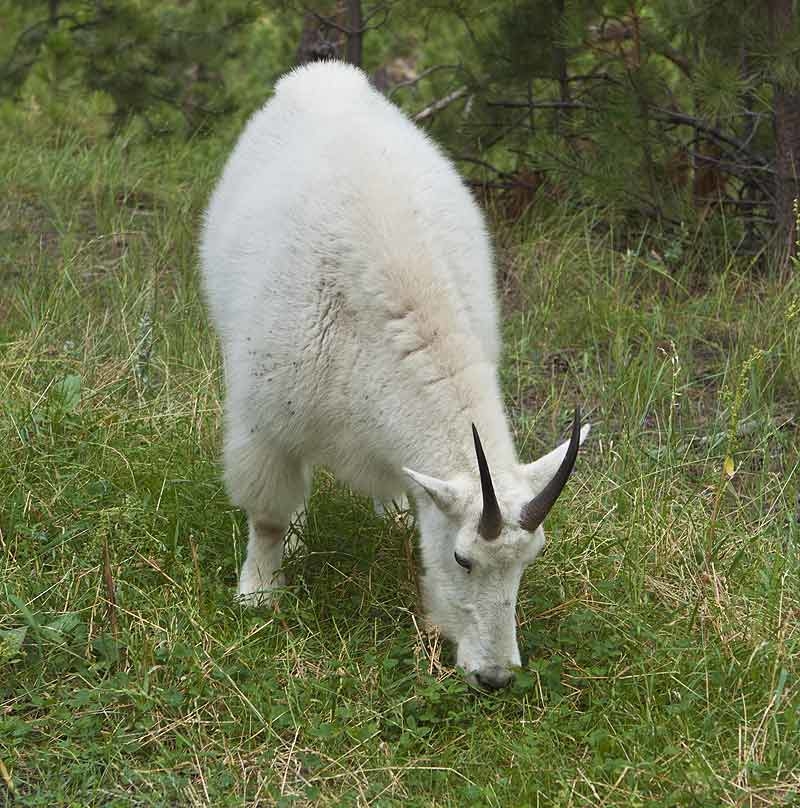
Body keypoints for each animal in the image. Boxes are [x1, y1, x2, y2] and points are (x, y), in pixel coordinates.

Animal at [200, 63, 588, 692]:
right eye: (462, 559)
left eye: (530, 560)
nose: (495, 676)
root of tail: (321, 74)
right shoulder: (266, 419)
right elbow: (268, 516)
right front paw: (258, 594)